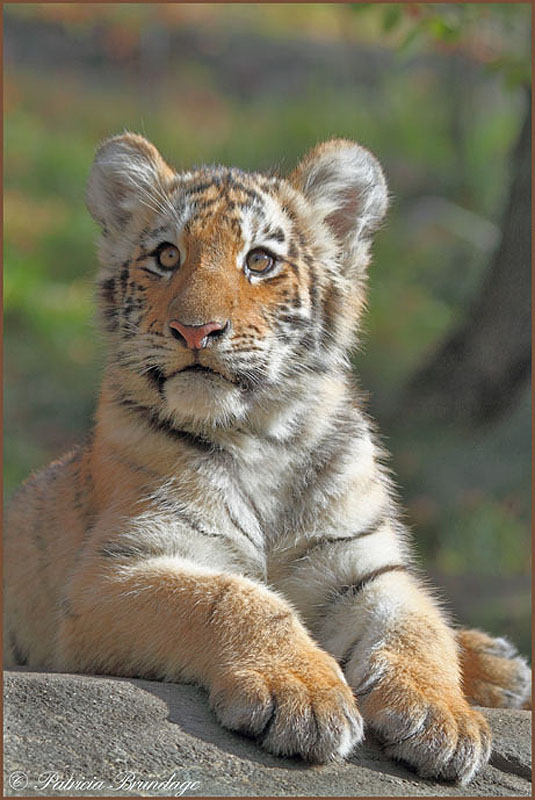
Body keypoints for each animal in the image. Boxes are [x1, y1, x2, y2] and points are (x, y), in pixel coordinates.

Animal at [4, 134, 530, 784]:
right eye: (166, 256)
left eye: (259, 261)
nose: (195, 330)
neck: (263, 438)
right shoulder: (112, 574)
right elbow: (236, 597)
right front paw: (303, 695)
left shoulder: (363, 565)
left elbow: (416, 628)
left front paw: (444, 718)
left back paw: (500, 667)